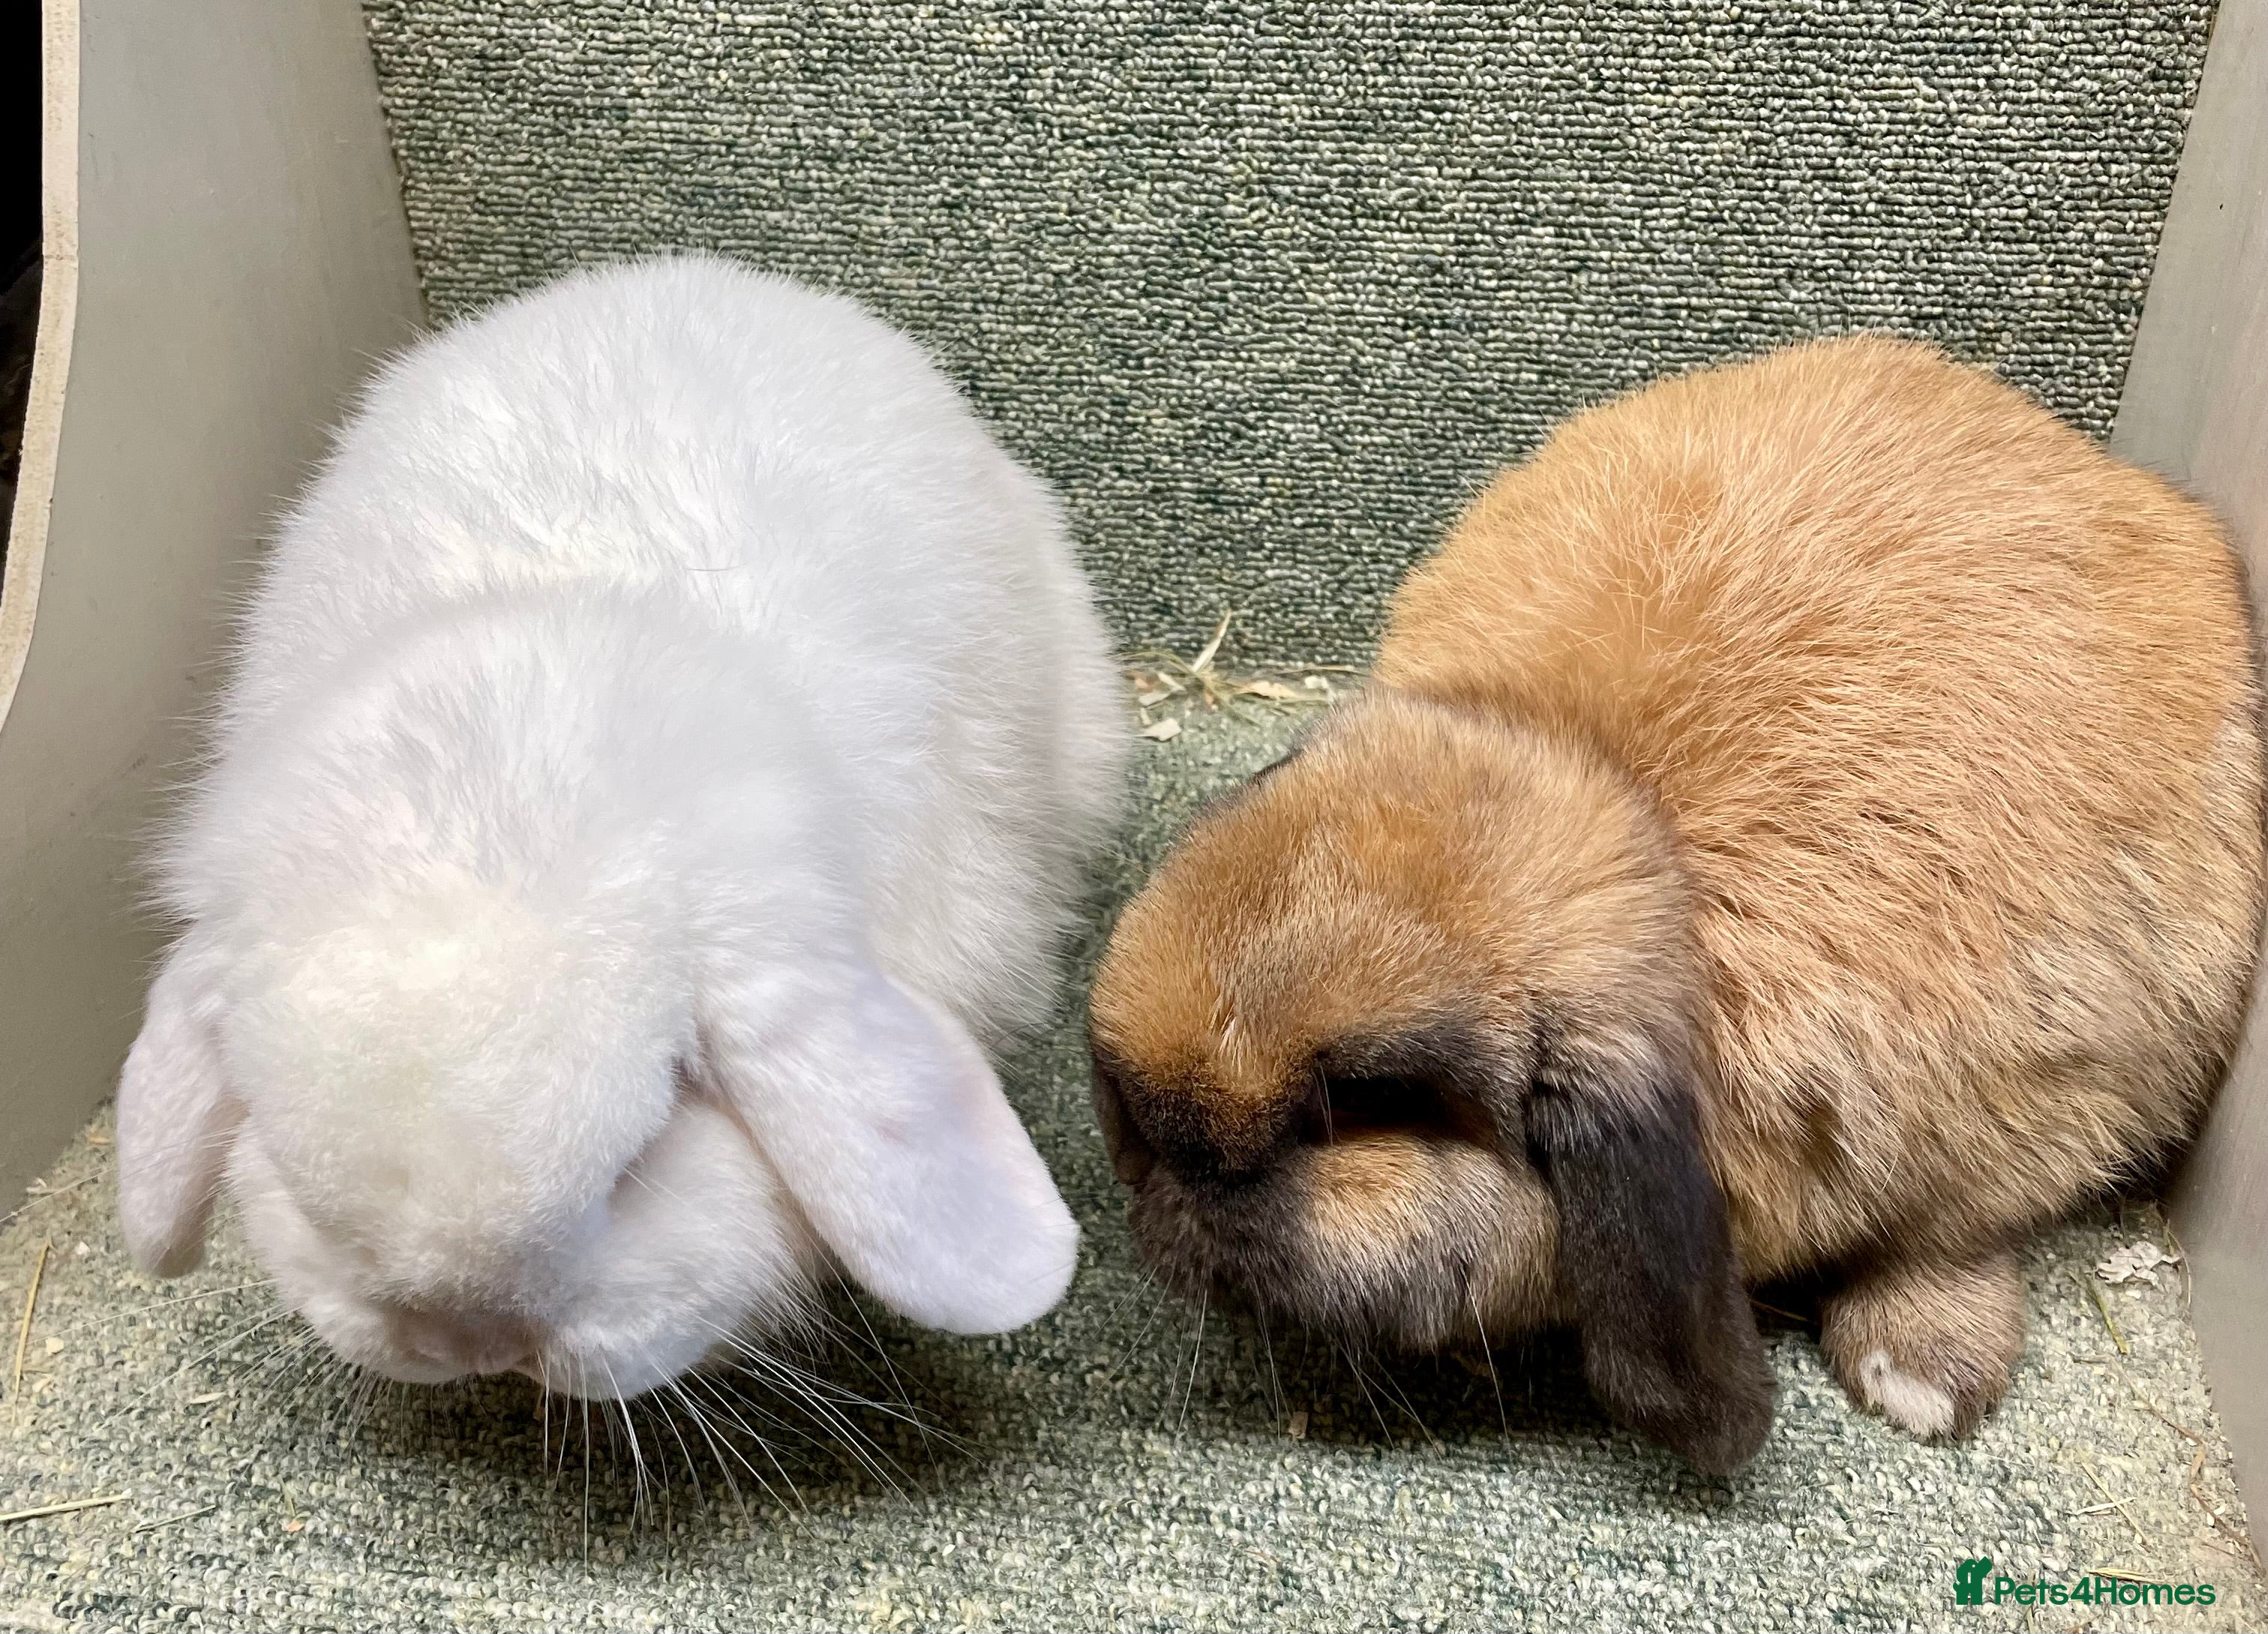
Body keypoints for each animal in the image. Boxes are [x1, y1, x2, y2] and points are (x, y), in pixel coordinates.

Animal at [1086, 335, 2264, 1475]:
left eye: (1362, 1102)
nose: (1142, 1135)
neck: (1618, 789)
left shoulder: (2043, 1102)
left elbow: (1945, 1241)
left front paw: (1921, 1377)